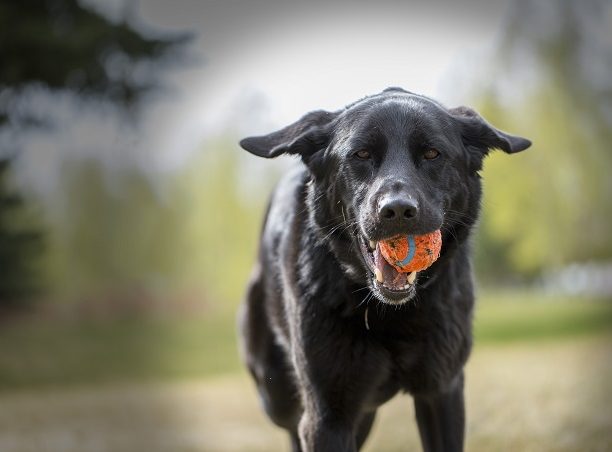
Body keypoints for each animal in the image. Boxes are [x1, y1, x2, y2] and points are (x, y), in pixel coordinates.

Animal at [239, 86, 532, 450]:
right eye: (361, 154)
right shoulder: (326, 416)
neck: (390, 314)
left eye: (432, 153)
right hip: (278, 393)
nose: (397, 210)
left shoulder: (443, 391)